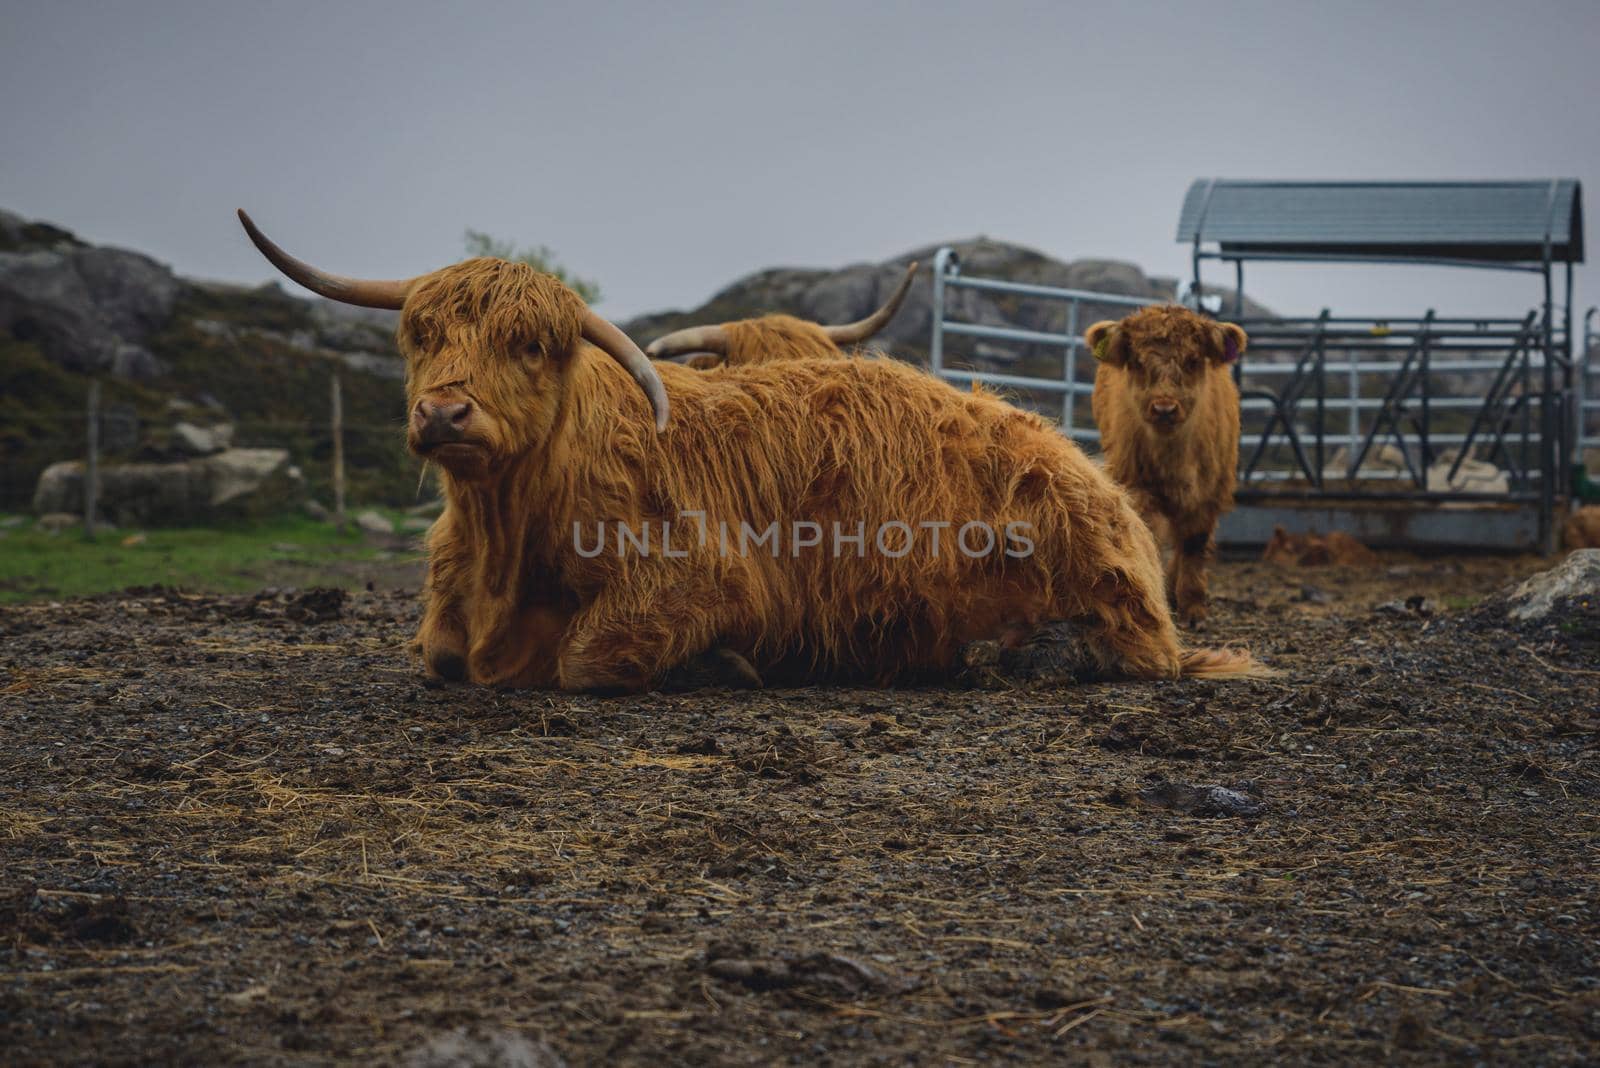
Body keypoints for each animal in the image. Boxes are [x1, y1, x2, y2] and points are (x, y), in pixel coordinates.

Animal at [1088, 303, 1248, 626]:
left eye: (1193, 360)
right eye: (1137, 362)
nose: (1164, 408)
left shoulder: (1208, 492)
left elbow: (1194, 542)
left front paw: (1192, 606)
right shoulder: (1136, 485)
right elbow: (1147, 532)